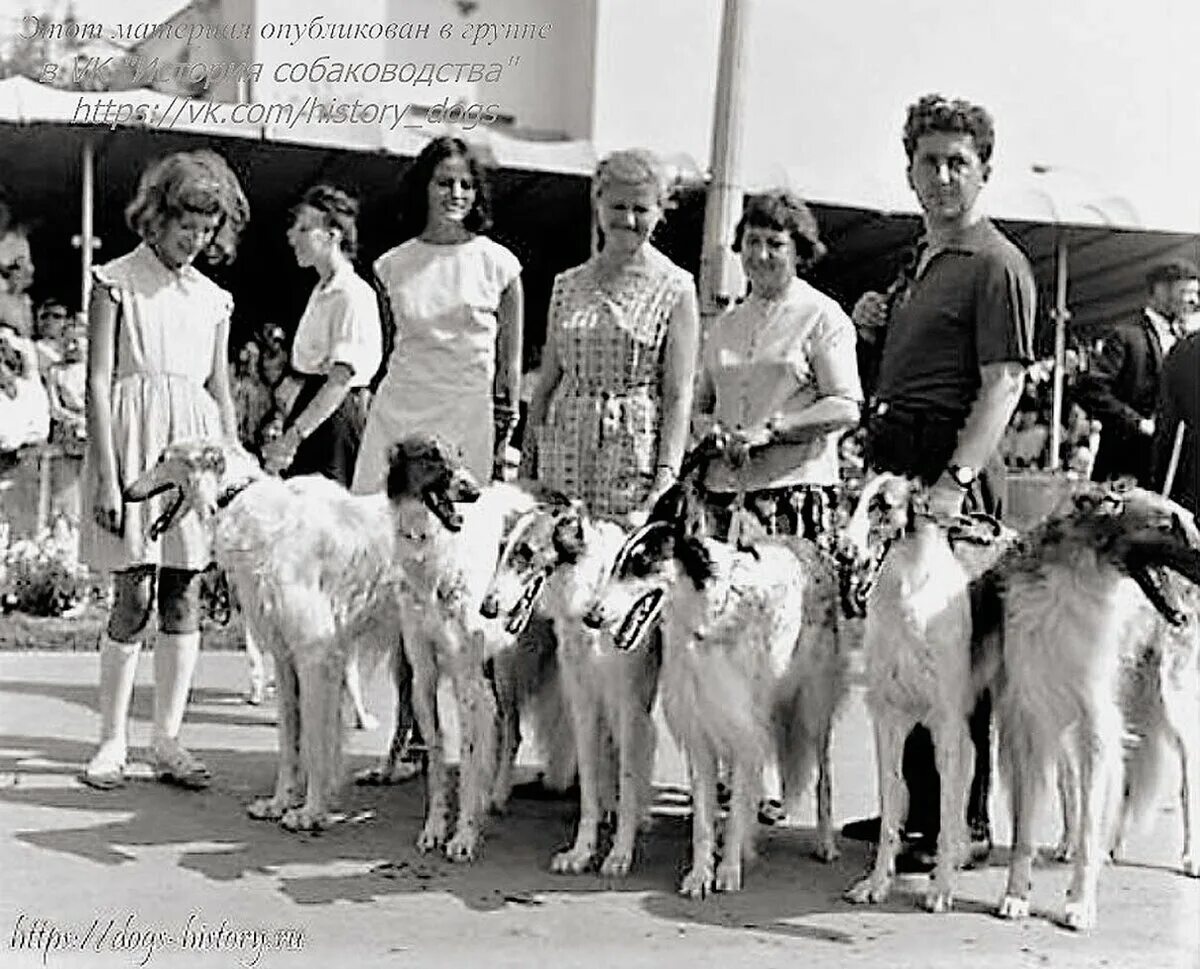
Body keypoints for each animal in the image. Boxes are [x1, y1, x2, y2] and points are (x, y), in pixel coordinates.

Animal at [482, 498, 662, 877]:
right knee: (512, 732)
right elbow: (590, 787)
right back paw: (498, 794)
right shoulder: (583, 698)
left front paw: (620, 853)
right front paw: (581, 852)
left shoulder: (627, 700)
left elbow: (627, 772)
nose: (486, 608)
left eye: (525, 552)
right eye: (502, 549)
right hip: (510, 671)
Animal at [840, 472, 1017, 911]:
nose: (843, 552)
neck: (909, 596)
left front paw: (941, 887)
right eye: (852, 500)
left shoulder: (947, 724)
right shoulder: (889, 719)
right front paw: (876, 883)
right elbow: (892, 805)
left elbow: (948, 812)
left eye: (882, 505)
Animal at [979, 489, 1200, 925]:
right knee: (1087, 786)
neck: (1082, 575)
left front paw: (1080, 904)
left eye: (1189, 526)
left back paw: (1188, 857)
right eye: (1167, 526)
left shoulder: (1095, 720)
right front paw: (1016, 896)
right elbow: (1027, 828)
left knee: (1186, 783)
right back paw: (1092, 845)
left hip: (1172, 702)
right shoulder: (1032, 719)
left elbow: (1088, 826)